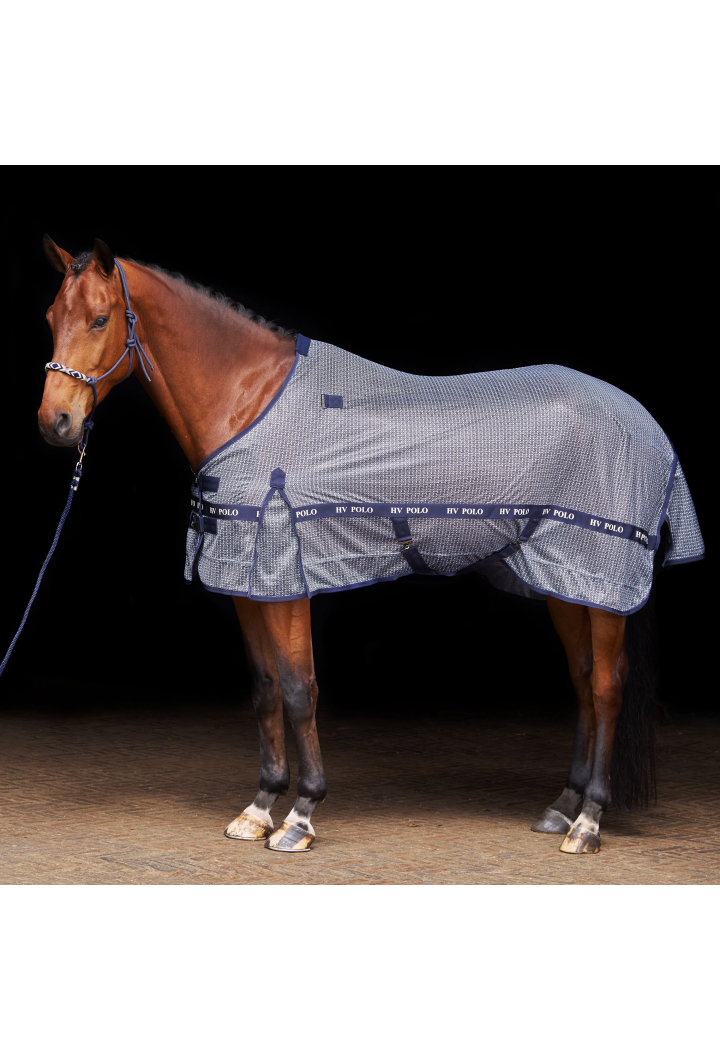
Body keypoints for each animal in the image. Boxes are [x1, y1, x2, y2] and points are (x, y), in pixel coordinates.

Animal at [37, 236, 704, 856]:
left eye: (100, 319)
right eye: (50, 316)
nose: (55, 423)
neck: (251, 401)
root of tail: (645, 421)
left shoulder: (286, 580)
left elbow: (299, 689)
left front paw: (301, 815)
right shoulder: (248, 583)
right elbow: (264, 689)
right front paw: (258, 808)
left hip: (599, 578)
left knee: (607, 687)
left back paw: (588, 822)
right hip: (564, 580)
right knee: (583, 680)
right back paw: (562, 808)